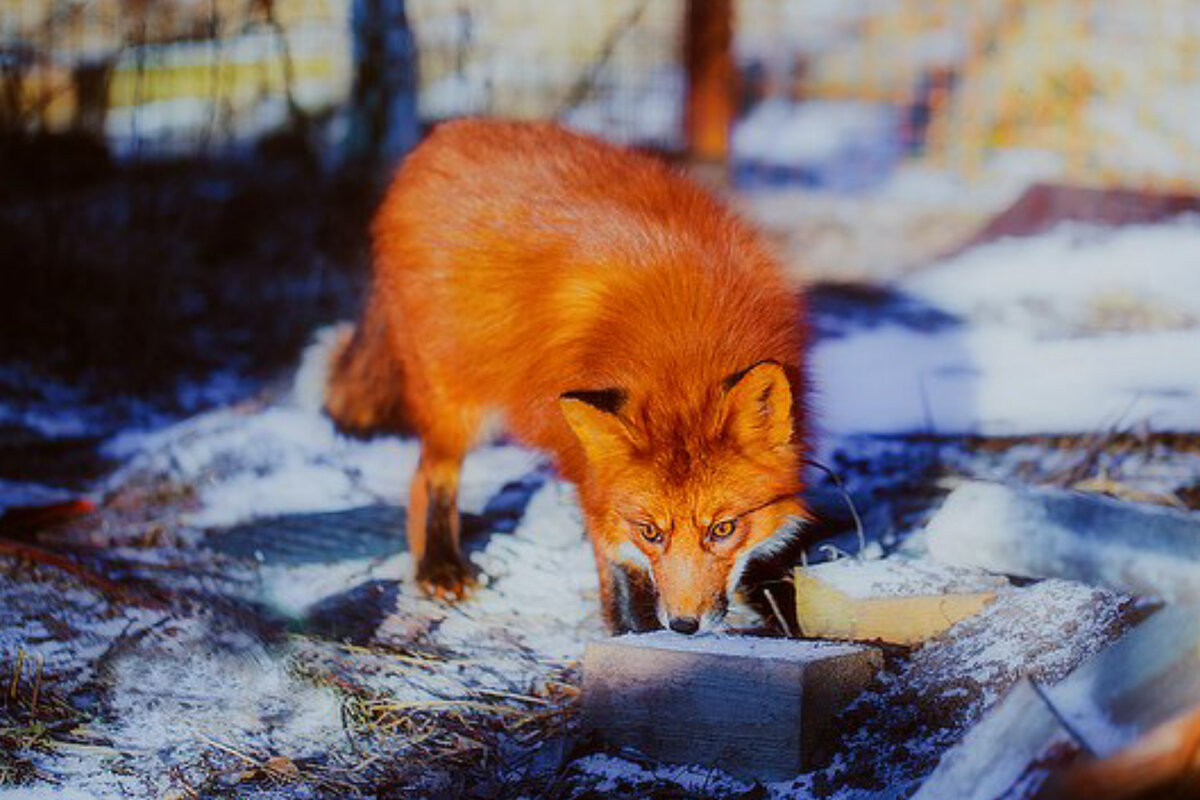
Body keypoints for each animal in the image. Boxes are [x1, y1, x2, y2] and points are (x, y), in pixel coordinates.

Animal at [321, 118, 806, 633]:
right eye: (649, 531)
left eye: (723, 528)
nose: (683, 626)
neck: (685, 345)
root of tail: (441, 137)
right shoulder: (589, 472)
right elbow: (619, 569)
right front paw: (638, 637)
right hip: (456, 400)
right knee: (429, 477)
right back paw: (439, 564)